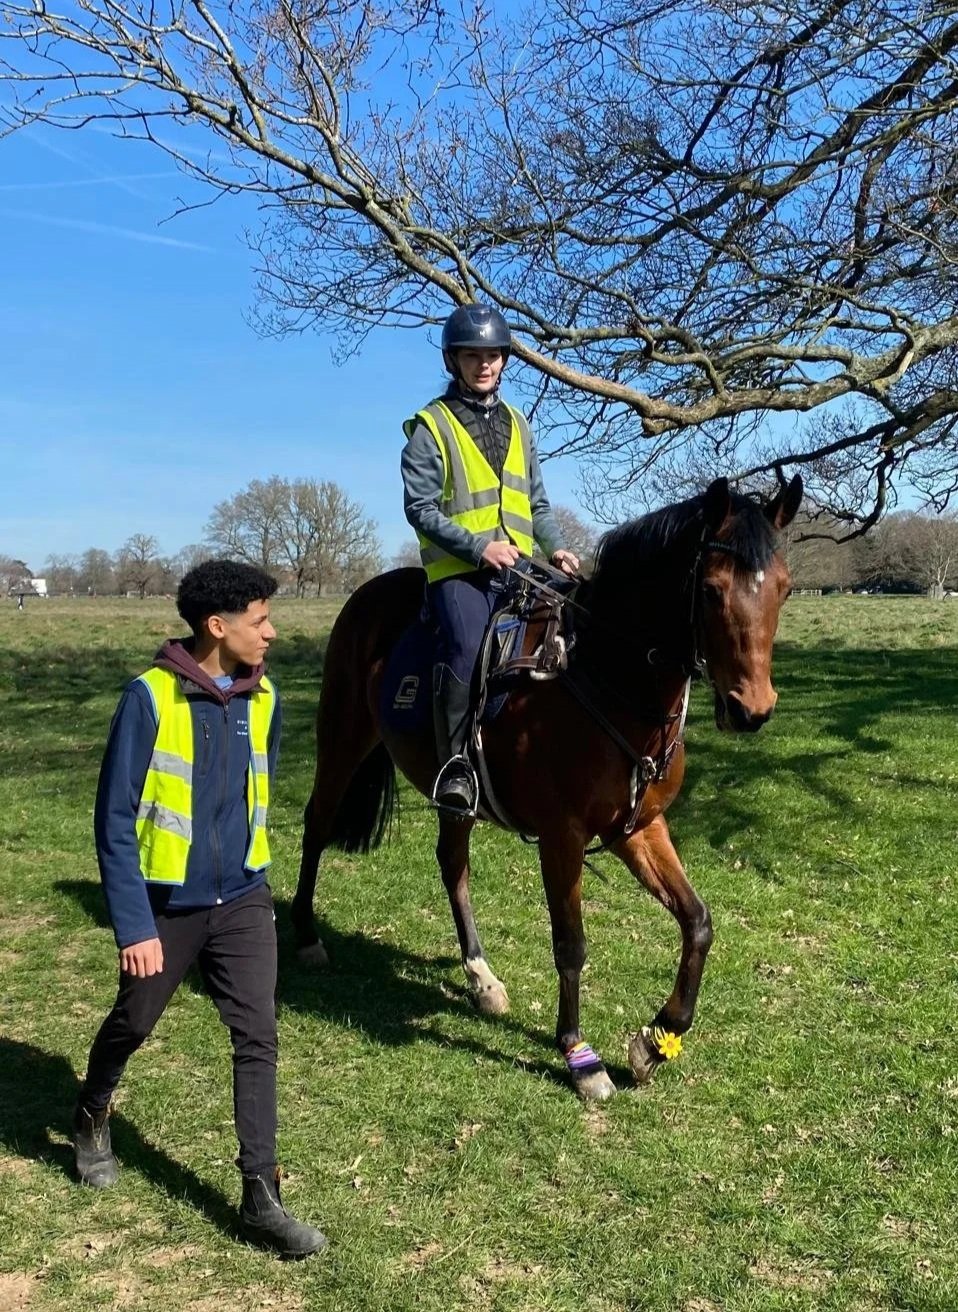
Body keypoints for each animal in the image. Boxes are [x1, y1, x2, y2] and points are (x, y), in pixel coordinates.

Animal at [291, 475, 802, 1100]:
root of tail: (368, 596)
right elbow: (571, 944)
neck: (603, 675)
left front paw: (657, 1039)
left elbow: (698, 922)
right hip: (341, 741)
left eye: (783, 589)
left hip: (454, 797)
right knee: (317, 826)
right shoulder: (563, 838)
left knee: (452, 865)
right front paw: (578, 1054)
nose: (751, 709)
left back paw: (481, 977)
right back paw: (306, 935)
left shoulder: (638, 828)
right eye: (710, 590)